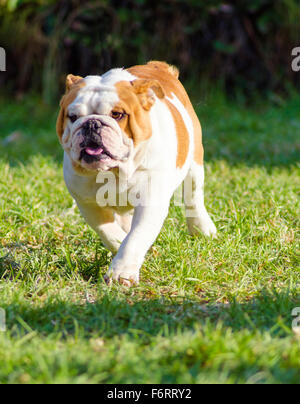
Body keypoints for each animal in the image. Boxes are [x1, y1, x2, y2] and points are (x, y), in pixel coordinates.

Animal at [56, 61, 216, 286]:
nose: (92, 123)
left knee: (193, 196)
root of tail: (157, 66)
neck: (115, 171)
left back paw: (202, 228)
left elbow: (135, 237)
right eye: (73, 117)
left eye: (117, 114)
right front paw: (119, 246)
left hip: (194, 161)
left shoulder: (151, 202)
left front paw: (121, 273)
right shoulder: (88, 203)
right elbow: (108, 231)